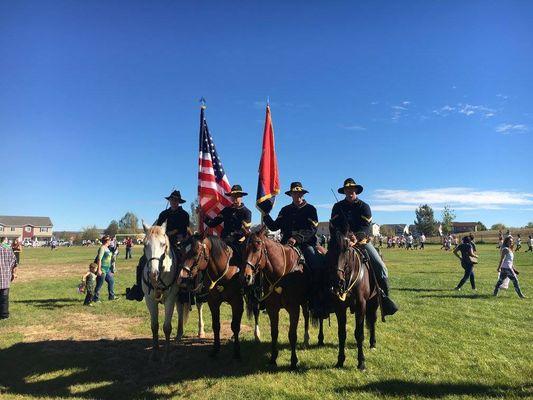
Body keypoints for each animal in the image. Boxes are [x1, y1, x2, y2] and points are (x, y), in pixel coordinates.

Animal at [244, 227, 314, 370]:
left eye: (257, 248)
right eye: (244, 249)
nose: (247, 276)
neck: (282, 276)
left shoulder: (294, 309)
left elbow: (292, 335)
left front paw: (293, 361)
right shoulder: (272, 309)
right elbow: (274, 333)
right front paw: (273, 358)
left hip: (305, 302)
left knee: (306, 315)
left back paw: (306, 338)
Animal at [326, 231, 380, 372]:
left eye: (346, 250)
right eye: (329, 248)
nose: (337, 281)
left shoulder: (361, 305)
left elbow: (359, 334)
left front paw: (361, 363)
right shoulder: (339, 307)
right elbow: (342, 333)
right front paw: (340, 361)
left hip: (374, 302)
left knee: (373, 321)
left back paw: (373, 343)